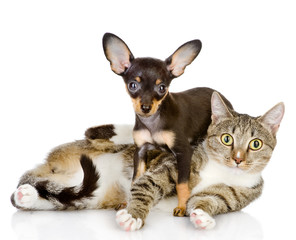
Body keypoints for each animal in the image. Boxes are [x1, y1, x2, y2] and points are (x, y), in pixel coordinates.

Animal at [11, 92, 284, 231]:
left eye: (255, 144)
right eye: (227, 139)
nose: (237, 159)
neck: (222, 171)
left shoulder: (229, 196)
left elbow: (206, 201)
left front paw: (202, 216)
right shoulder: (170, 167)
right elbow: (147, 186)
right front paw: (135, 215)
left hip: (89, 195)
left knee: (59, 197)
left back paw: (27, 195)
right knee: (99, 132)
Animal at [100, 32, 232, 218]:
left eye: (162, 88)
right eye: (133, 85)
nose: (146, 107)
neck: (153, 123)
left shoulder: (183, 152)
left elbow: (182, 183)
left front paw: (182, 206)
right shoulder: (140, 151)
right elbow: (135, 180)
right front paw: (129, 203)